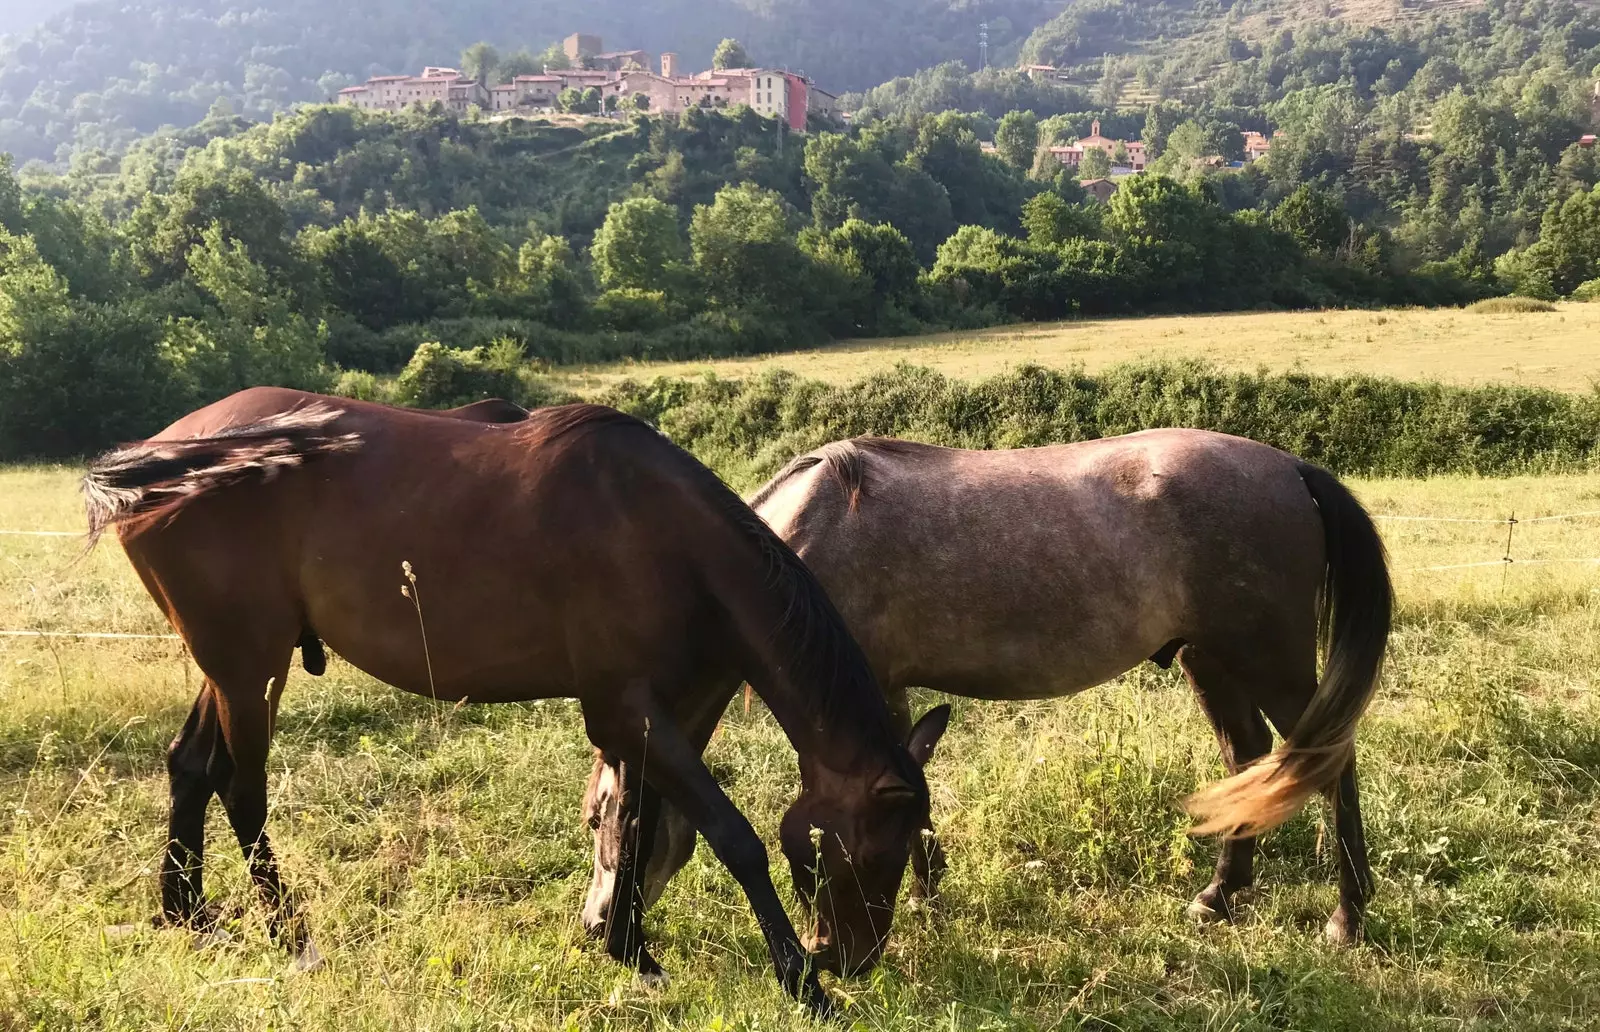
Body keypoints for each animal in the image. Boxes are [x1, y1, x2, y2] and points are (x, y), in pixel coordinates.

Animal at [81, 387, 940, 1004]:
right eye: (870, 851)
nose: (851, 961)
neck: (668, 538)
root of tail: (163, 453)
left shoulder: (653, 716)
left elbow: (634, 828)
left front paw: (630, 950)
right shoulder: (627, 709)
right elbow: (733, 836)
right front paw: (798, 982)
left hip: (232, 666)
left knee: (191, 765)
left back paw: (188, 915)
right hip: (248, 667)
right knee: (243, 789)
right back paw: (295, 939)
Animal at [585, 432, 1388, 947]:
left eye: (600, 820)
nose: (596, 927)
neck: (798, 551)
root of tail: (1291, 468)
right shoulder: (886, 689)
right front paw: (927, 894)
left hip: (1268, 660)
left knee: (1328, 760)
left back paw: (1348, 916)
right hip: (1209, 659)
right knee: (1246, 756)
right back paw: (1221, 895)